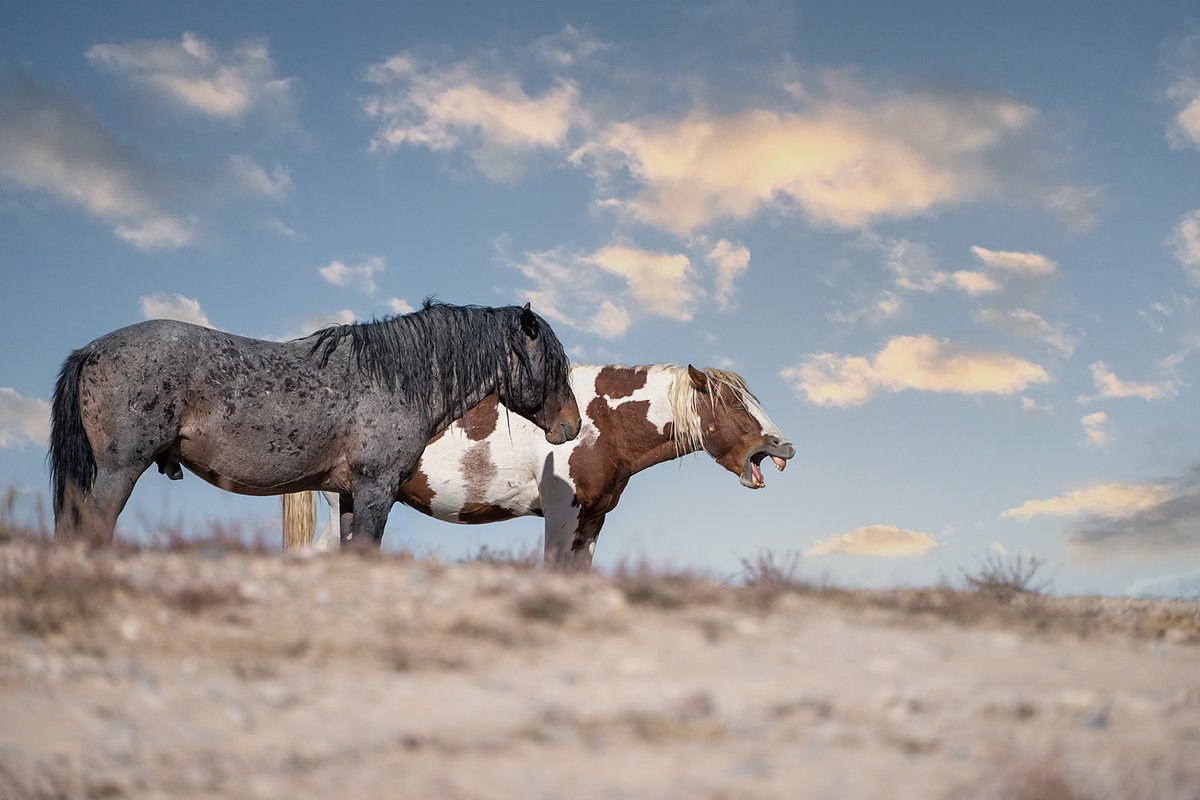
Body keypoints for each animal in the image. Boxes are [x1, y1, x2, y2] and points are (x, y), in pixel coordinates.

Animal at [50, 301, 581, 548]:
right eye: (554, 363)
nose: (572, 425)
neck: (393, 377)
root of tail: (91, 350)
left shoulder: (347, 494)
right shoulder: (375, 489)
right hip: (119, 471)